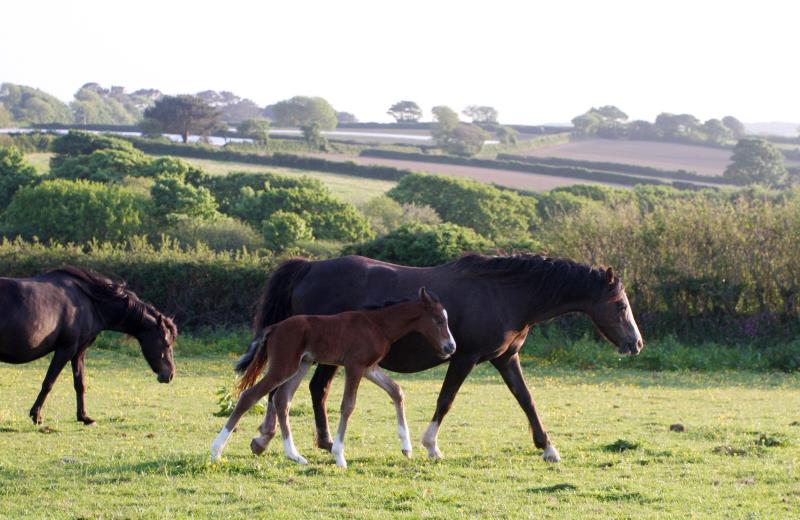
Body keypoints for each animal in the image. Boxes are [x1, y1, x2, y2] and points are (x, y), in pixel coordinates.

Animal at [0, 266, 177, 424]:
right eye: (166, 343)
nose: (170, 374)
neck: (89, 302)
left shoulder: (79, 351)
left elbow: (80, 384)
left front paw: (84, 417)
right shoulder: (65, 349)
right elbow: (48, 382)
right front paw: (36, 416)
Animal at [209, 286, 454, 470]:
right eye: (438, 320)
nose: (450, 347)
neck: (377, 324)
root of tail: (274, 327)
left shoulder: (369, 368)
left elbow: (396, 391)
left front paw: (406, 447)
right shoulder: (355, 366)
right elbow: (348, 406)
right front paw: (339, 456)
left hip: (301, 365)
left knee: (282, 399)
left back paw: (294, 455)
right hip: (283, 366)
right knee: (249, 396)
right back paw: (216, 451)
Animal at [239, 254, 644, 462]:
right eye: (620, 305)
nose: (636, 343)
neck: (504, 293)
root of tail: (310, 266)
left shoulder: (506, 359)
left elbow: (526, 400)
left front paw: (548, 447)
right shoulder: (465, 358)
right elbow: (446, 400)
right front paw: (431, 445)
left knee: (303, 391)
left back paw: (288, 440)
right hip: (319, 355)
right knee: (298, 391)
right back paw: (285, 440)